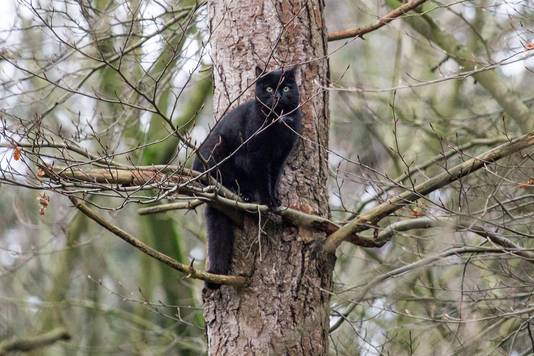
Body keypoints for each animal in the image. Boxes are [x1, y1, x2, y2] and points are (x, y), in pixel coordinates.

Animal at [193, 66, 302, 290]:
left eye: (287, 87)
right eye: (268, 88)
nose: (277, 95)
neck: (277, 123)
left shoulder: (280, 157)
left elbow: (274, 179)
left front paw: (275, 199)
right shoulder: (254, 156)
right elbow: (261, 179)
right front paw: (267, 201)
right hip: (216, 147)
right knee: (224, 179)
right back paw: (243, 195)